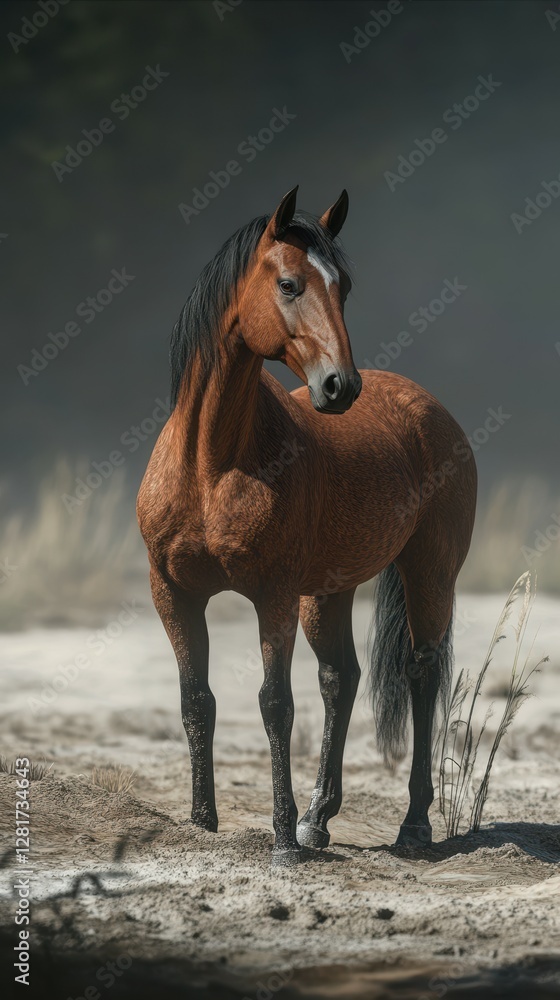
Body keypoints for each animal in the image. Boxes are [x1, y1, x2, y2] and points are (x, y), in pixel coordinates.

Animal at [137, 186, 477, 865]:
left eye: (344, 286)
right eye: (289, 284)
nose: (340, 386)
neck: (212, 463)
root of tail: (429, 409)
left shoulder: (272, 596)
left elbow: (275, 704)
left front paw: (280, 839)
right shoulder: (174, 592)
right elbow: (196, 700)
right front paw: (203, 822)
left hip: (429, 574)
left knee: (422, 675)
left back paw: (413, 825)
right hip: (328, 592)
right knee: (340, 679)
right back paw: (319, 818)